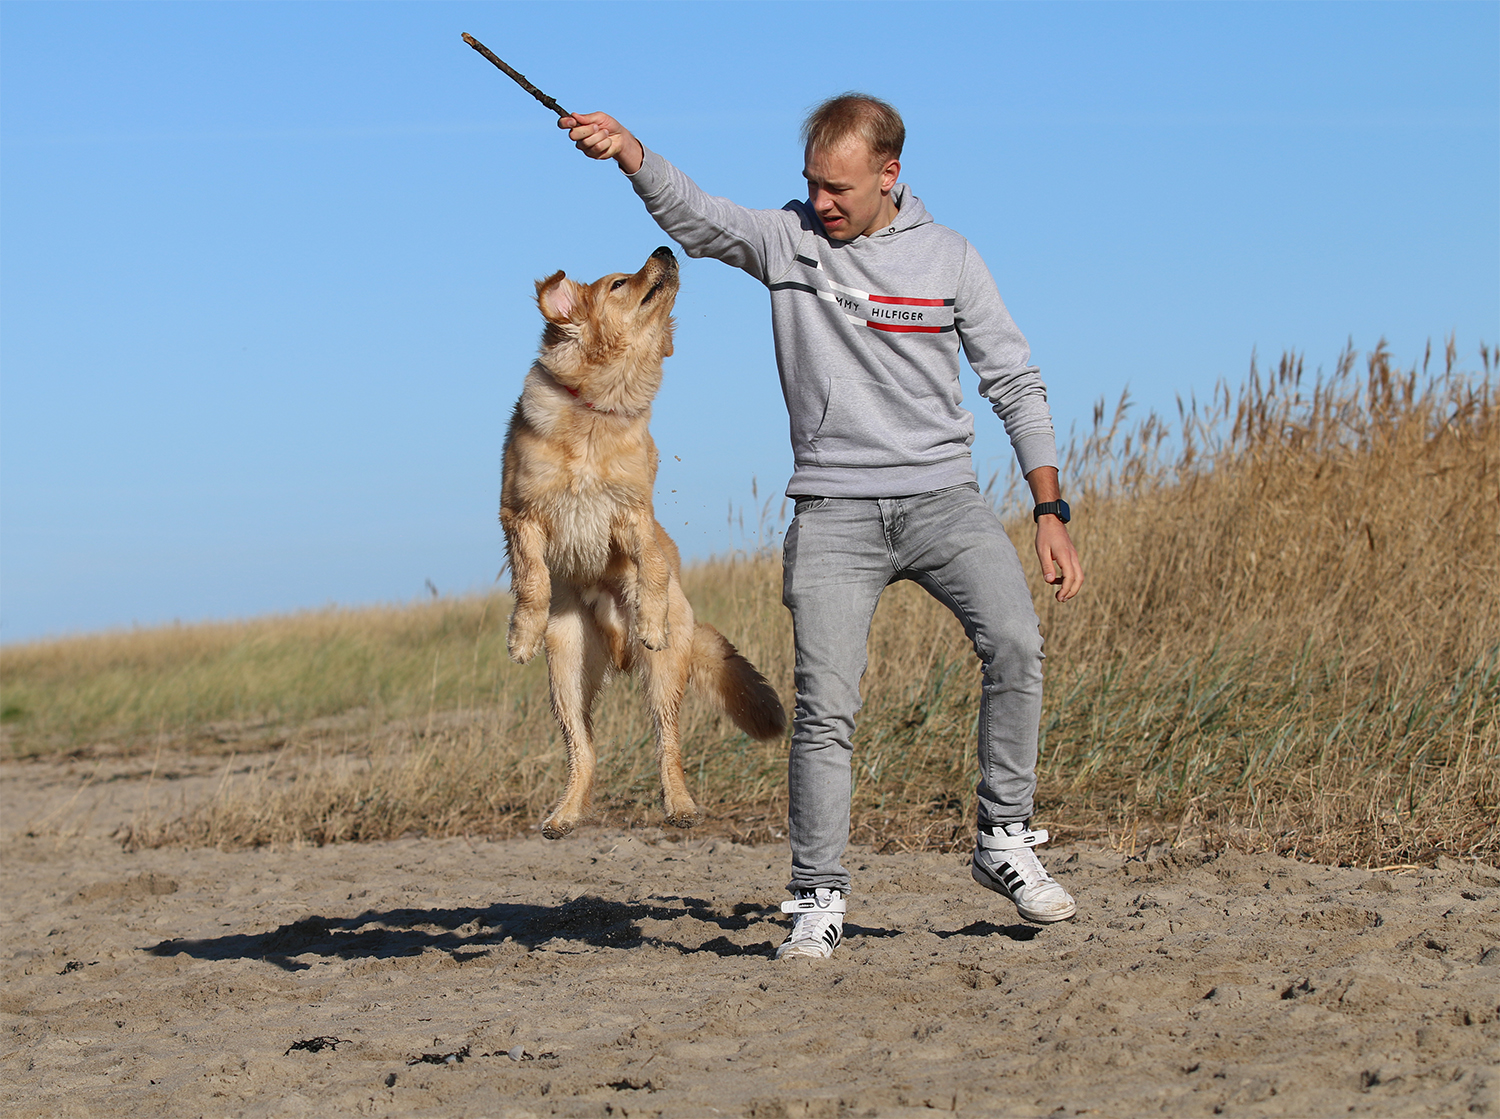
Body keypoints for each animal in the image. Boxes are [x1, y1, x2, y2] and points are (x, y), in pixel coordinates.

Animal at [500, 246, 787, 839]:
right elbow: (533, 580)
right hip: (566, 668)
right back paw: (565, 815)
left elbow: (651, 562)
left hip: (663, 673)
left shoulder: (634, 514)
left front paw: (651, 618)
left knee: (667, 743)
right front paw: (521, 635)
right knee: (582, 750)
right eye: (618, 284)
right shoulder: (520, 514)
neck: (597, 411)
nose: (665, 250)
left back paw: (679, 805)